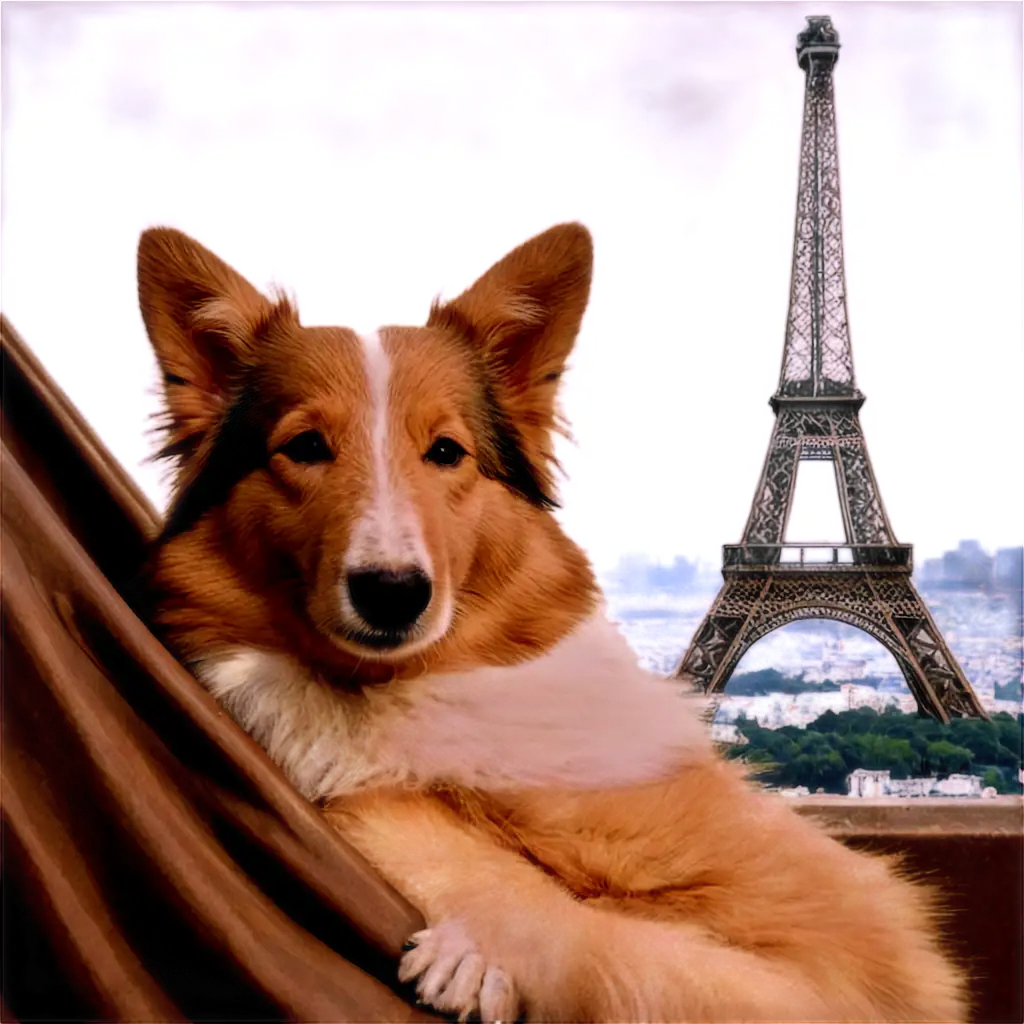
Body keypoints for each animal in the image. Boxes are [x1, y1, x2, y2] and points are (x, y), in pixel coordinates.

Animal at [138, 226, 966, 1024]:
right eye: (305, 447)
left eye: (447, 451)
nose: (392, 593)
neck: (393, 693)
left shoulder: (827, 939)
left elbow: (611, 943)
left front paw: (476, 958)